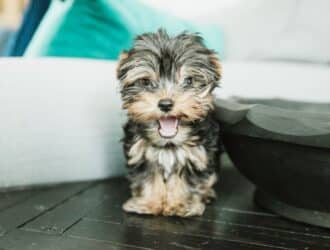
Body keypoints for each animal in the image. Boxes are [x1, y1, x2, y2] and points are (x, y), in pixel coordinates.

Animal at [116, 29, 222, 217]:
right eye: (145, 81)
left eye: (188, 80)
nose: (165, 104)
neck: (168, 143)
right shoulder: (142, 153)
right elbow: (148, 177)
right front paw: (149, 203)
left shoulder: (196, 155)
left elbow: (186, 180)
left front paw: (180, 205)